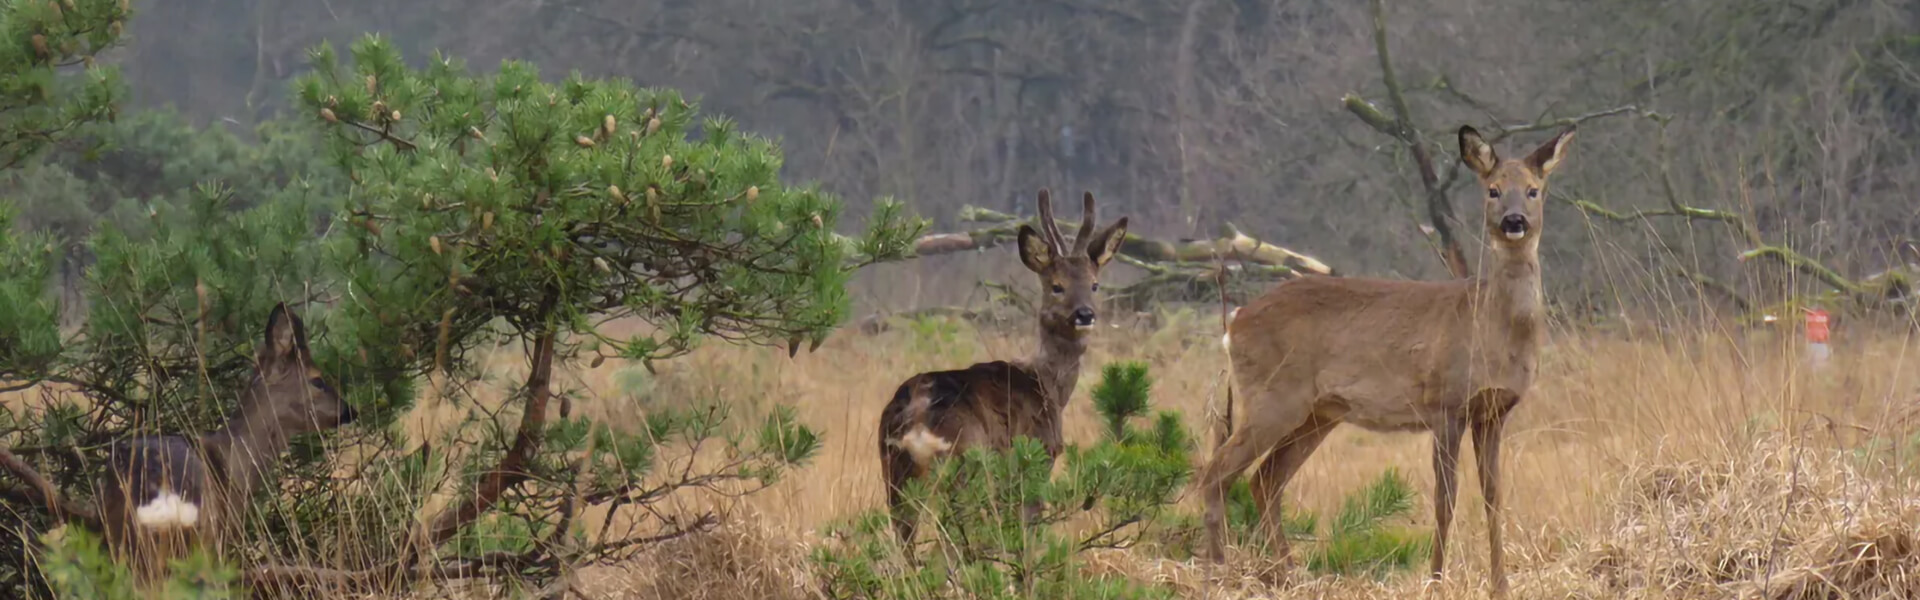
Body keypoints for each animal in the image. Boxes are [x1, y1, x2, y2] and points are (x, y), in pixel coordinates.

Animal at [879, 189, 1128, 546]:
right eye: (1056, 285)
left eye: (1094, 284)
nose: (1084, 314)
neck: (1048, 385)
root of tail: (917, 412)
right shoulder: (1036, 457)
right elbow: (1028, 535)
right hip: (963, 466)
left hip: (893, 472)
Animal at [1198, 125, 1574, 596]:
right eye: (1493, 190)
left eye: (1533, 190)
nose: (1514, 221)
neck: (1490, 327)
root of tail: (1234, 321)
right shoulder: (1445, 403)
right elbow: (1445, 498)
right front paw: (1436, 579)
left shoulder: (1493, 411)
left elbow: (1494, 497)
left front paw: (1500, 586)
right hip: (1271, 397)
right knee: (1215, 472)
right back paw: (1219, 573)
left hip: (1317, 413)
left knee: (1263, 480)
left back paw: (1286, 575)